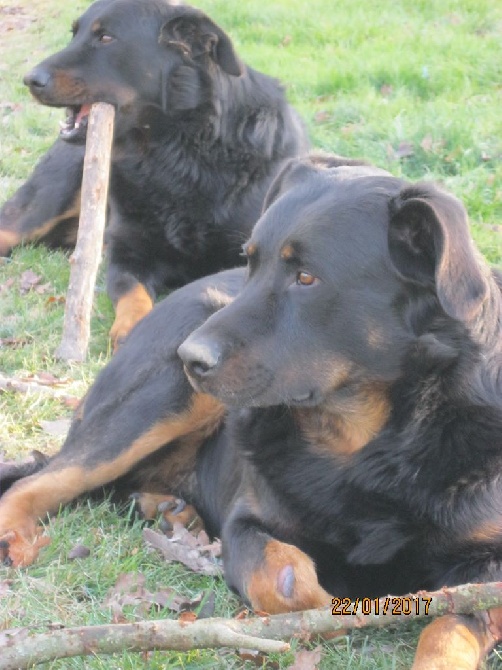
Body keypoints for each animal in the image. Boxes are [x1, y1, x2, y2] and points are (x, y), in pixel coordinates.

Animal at [0, 0, 310, 346]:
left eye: (106, 37)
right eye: (74, 34)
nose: (30, 80)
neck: (175, 154)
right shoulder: (127, 253)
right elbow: (132, 292)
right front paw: (132, 328)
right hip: (44, 203)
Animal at [0, 160, 502, 668]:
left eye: (306, 278)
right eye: (250, 263)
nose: (190, 358)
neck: (362, 446)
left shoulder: (487, 564)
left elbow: (450, 630)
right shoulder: (247, 524)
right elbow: (286, 580)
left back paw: (170, 509)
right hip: (157, 400)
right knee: (39, 482)